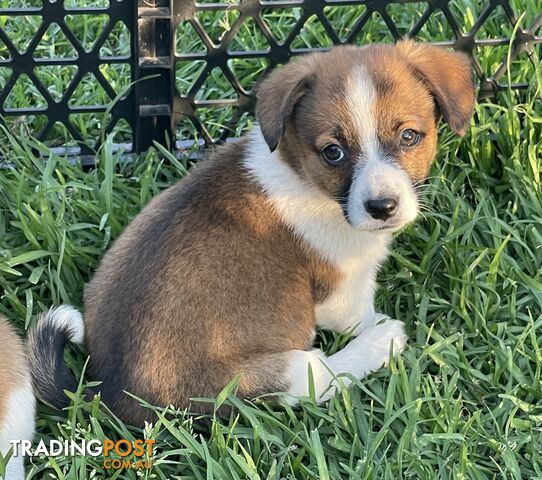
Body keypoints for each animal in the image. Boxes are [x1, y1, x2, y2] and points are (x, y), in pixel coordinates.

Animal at [27, 40, 476, 424]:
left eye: (409, 136)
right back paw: (381, 343)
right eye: (333, 152)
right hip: (283, 370)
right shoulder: (341, 292)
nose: (382, 208)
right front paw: (382, 328)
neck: (302, 171)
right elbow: (358, 315)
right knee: (323, 377)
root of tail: (105, 391)